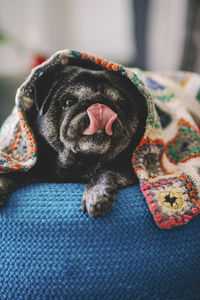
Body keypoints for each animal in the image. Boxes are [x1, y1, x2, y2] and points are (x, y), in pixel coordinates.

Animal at [0, 64, 147, 217]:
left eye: (120, 104)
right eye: (69, 102)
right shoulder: (34, 166)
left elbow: (106, 171)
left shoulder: (130, 168)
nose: (99, 105)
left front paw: (97, 192)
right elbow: (14, 174)